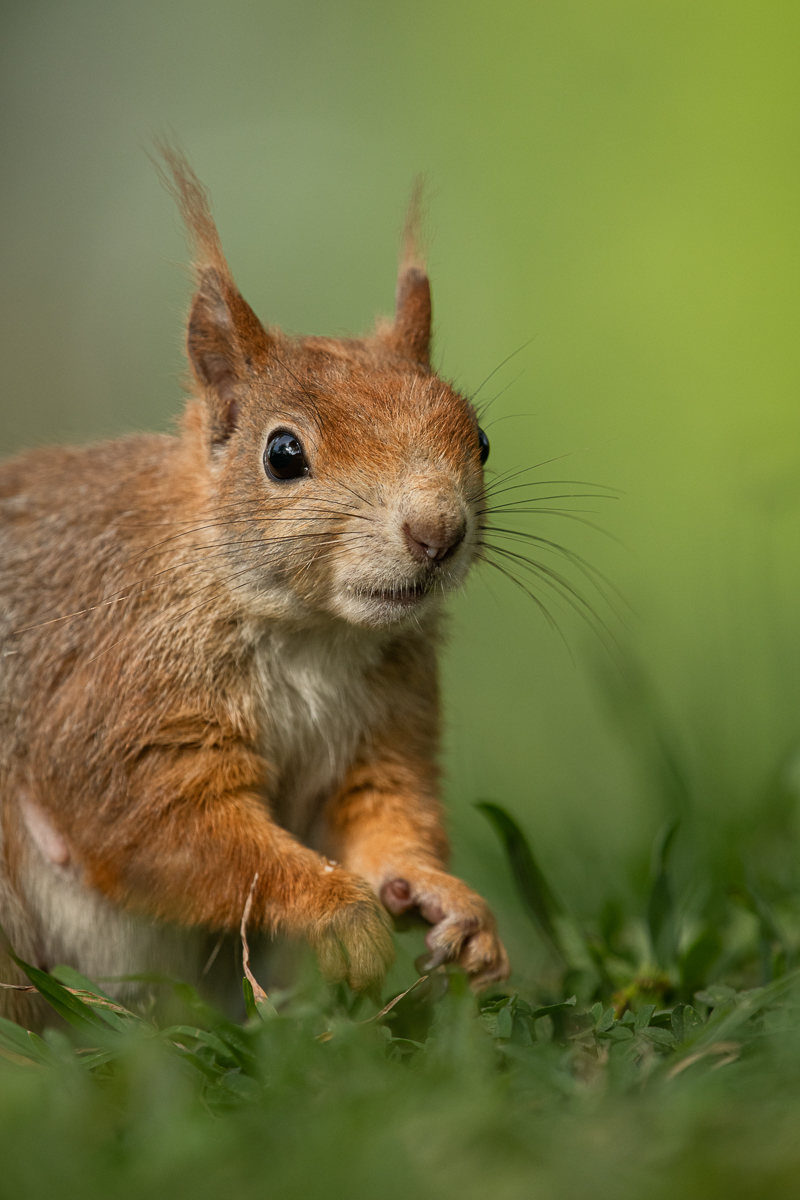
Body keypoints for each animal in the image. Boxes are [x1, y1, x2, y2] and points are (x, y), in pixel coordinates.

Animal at [0, 142, 510, 1022]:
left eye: (477, 439)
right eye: (283, 454)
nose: (437, 532)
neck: (313, 634)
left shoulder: (383, 729)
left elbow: (384, 819)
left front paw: (456, 905)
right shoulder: (117, 704)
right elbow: (171, 832)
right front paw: (337, 912)